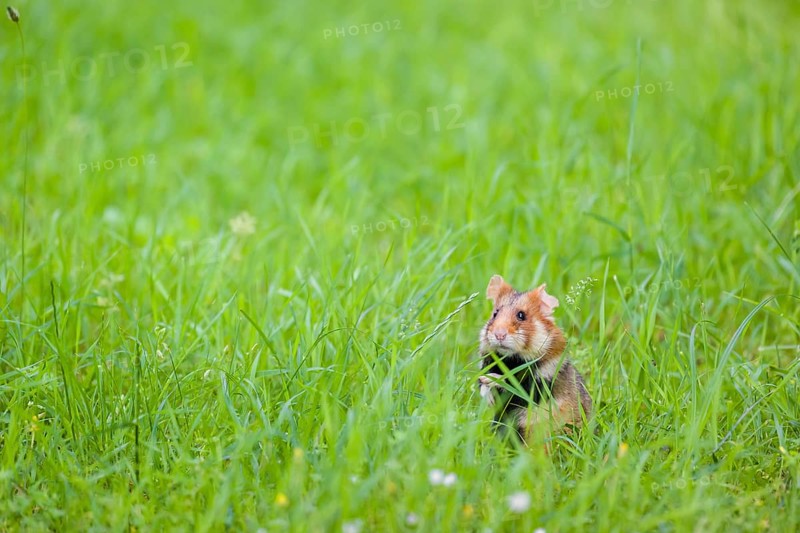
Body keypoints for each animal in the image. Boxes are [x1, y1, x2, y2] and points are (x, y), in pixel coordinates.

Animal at [478, 275, 592, 443]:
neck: (512, 360)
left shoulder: (542, 382)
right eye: (495, 313)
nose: (499, 335)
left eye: (521, 315)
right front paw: (488, 395)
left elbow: (515, 386)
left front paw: (491, 378)